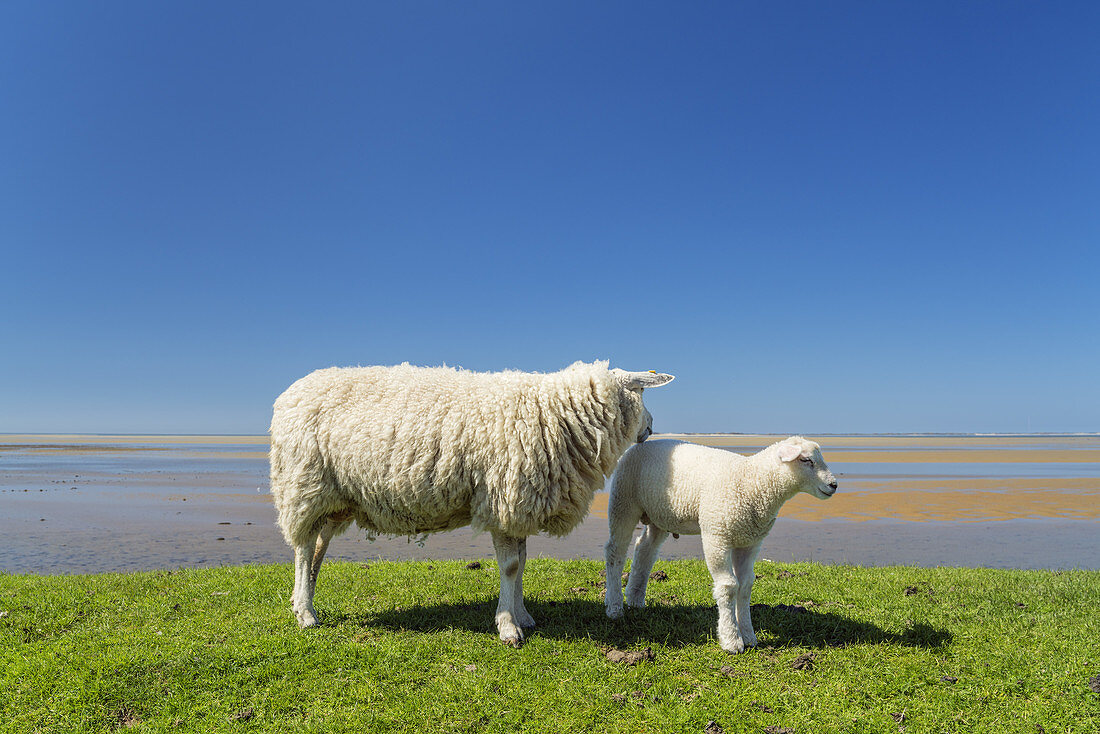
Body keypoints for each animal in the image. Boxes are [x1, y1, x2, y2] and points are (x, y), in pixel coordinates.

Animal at [270, 358, 673, 647]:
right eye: (641, 391)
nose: (651, 429)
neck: (556, 410)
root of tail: (288, 394)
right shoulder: (504, 498)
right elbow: (511, 566)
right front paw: (508, 627)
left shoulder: (517, 505)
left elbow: (521, 563)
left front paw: (523, 615)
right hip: (304, 485)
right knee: (303, 550)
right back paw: (305, 613)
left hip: (337, 498)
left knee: (318, 549)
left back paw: (303, 600)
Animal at [602, 435, 831, 655]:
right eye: (806, 460)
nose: (834, 485)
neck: (752, 481)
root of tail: (638, 445)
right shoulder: (717, 536)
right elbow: (729, 586)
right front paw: (731, 640)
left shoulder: (749, 542)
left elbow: (745, 586)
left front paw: (748, 635)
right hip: (624, 502)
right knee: (615, 552)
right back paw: (614, 606)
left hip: (659, 515)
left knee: (645, 550)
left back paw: (634, 597)